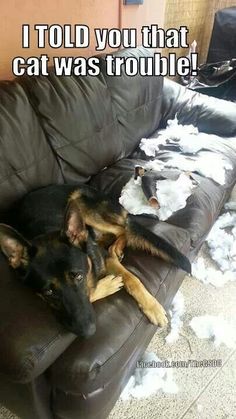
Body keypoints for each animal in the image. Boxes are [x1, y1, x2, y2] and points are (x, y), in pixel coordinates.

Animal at [0, 184, 190, 338]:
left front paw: (152, 307)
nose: (87, 332)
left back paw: (115, 248)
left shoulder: (104, 259)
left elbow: (132, 279)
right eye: (49, 292)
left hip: (81, 204)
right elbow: (90, 293)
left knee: (122, 229)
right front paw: (108, 284)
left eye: (78, 277)